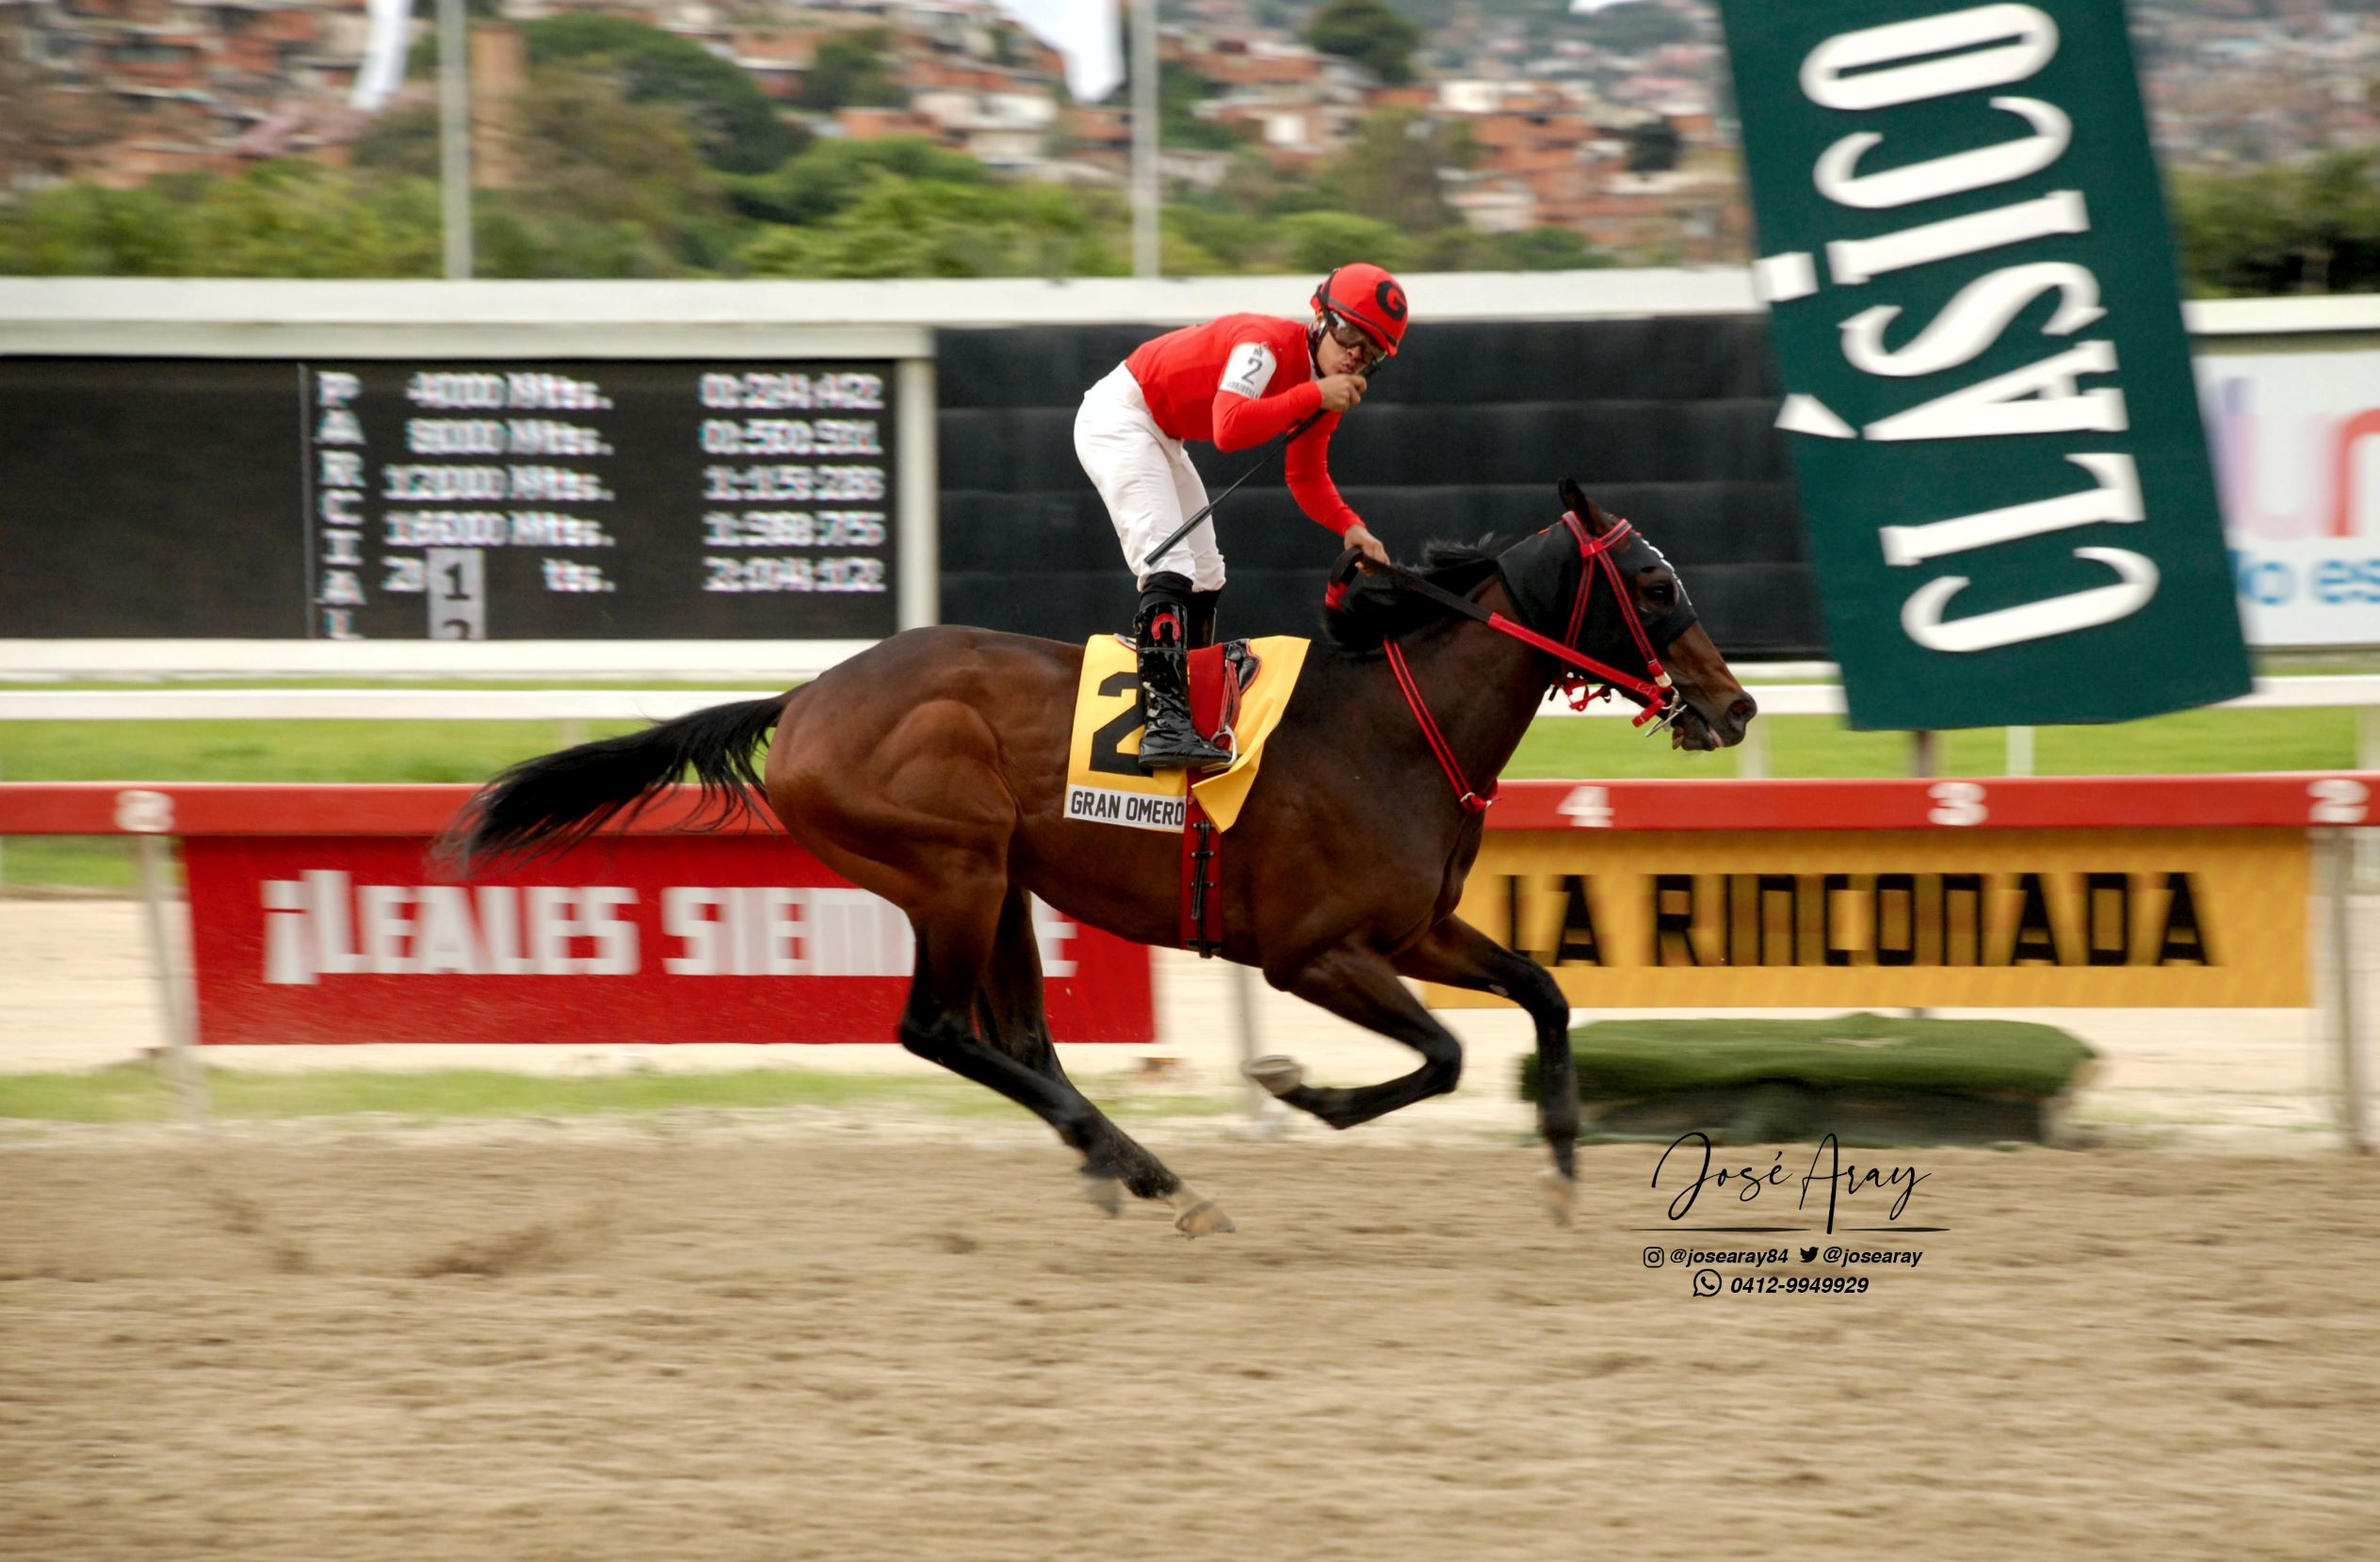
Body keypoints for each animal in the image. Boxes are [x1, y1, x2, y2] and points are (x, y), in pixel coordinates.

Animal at [440, 478, 1757, 1235]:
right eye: (1654, 582)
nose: (1734, 706)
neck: (1390, 721)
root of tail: (807, 697)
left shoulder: (1416, 926)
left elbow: (1541, 991)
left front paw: (1563, 1162)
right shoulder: (1312, 952)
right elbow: (1437, 1054)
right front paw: (1300, 1089)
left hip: (1002, 884)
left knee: (1019, 1039)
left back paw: (1127, 1167)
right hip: (951, 870)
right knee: (938, 1030)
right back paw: (1149, 1173)